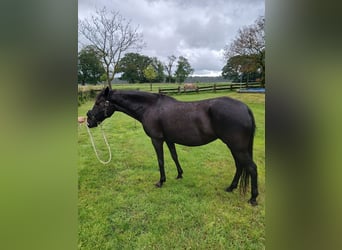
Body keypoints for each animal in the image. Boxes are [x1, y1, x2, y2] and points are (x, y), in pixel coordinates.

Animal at [87, 87, 258, 205]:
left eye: (98, 103)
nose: (89, 121)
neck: (150, 107)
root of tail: (245, 108)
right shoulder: (169, 140)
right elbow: (174, 156)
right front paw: (179, 174)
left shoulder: (157, 140)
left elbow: (161, 160)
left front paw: (161, 181)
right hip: (234, 147)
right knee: (239, 166)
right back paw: (231, 188)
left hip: (238, 147)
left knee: (251, 168)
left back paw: (253, 198)